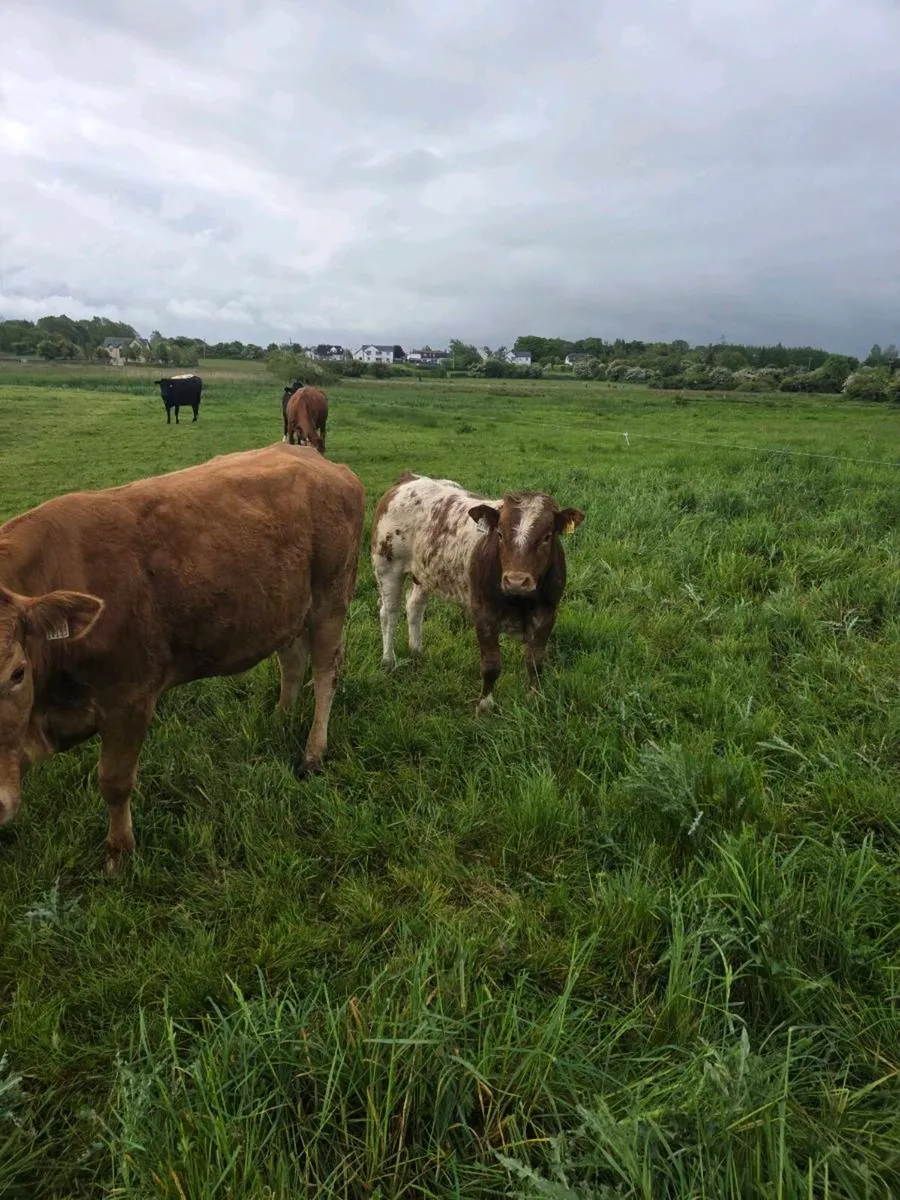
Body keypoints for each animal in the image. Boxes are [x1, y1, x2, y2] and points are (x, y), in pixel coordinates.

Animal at [0, 443, 365, 873]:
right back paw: (282, 717)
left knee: (326, 673)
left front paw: (119, 854)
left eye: (17, 673)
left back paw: (313, 751)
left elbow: (114, 782)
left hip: (331, 596)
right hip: (286, 607)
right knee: (292, 661)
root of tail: (320, 460)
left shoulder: (130, 698)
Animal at [371, 473, 584, 712]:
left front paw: (535, 698)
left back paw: (416, 651)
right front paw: (484, 705)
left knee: (414, 606)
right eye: (499, 534)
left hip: (424, 572)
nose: (517, 581)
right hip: (387, 567)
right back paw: (389, 660)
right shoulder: (484, 614)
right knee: (389, 613)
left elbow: (535, 661)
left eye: (547, 536)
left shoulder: (547, 613)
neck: (521, 601)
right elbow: (491, 665)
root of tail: (409, 479)